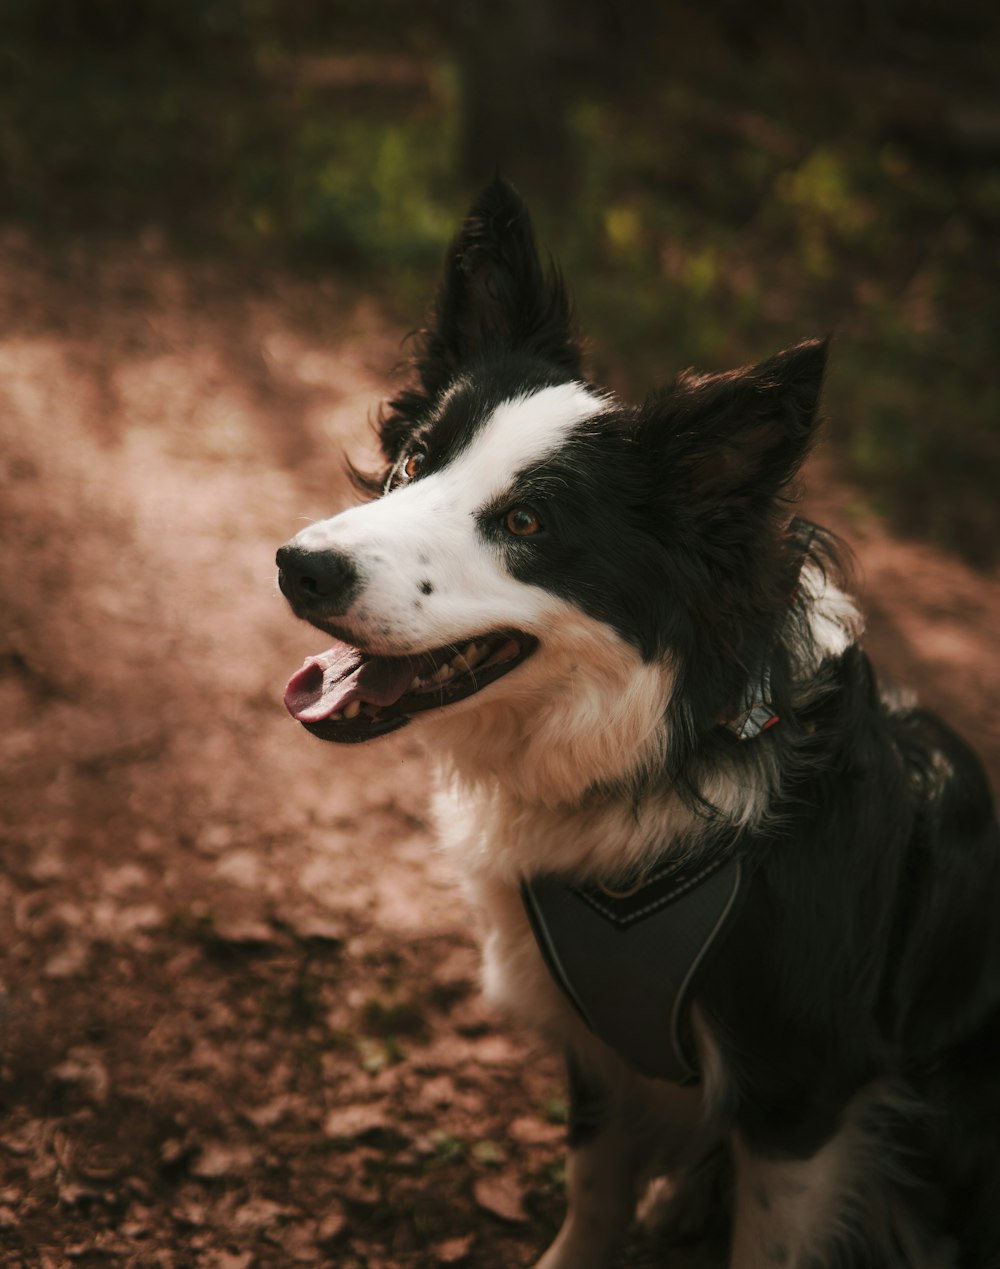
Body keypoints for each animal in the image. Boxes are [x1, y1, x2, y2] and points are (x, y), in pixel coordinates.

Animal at [277, 181, 1000, 1269]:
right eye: (408, 463)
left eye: (527, 524)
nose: (297, 566)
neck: (657, 749)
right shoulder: (598, 1044)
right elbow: (594, 1191)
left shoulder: (801, 1090)